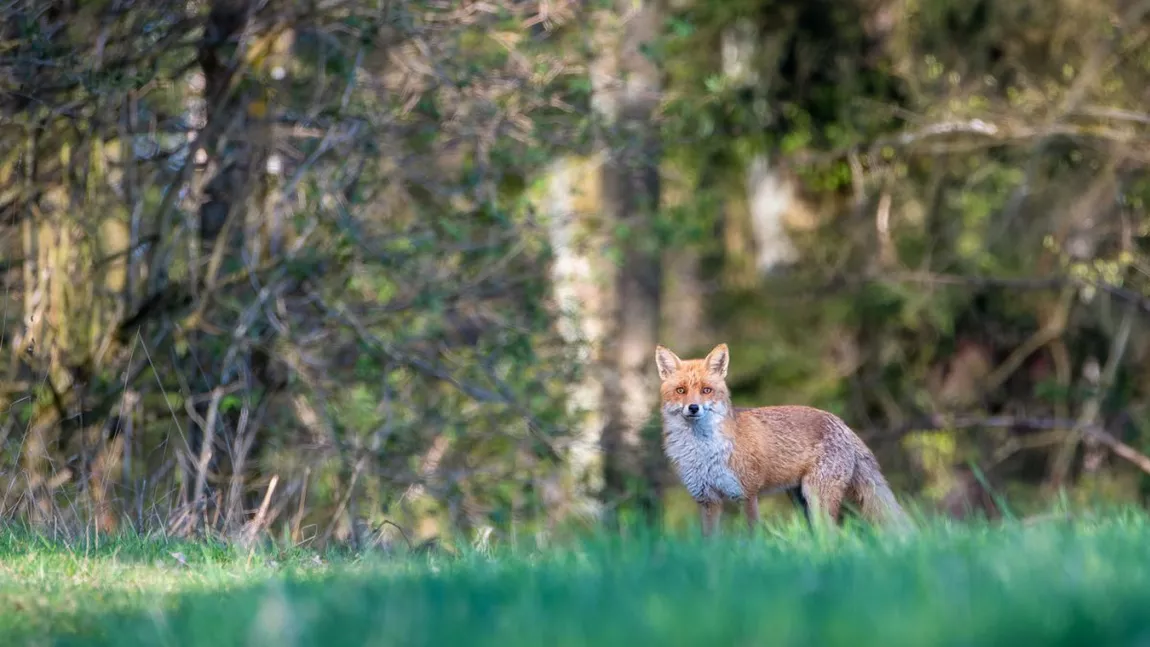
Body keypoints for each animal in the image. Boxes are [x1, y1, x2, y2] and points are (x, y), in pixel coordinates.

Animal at [657, 344, 906, 537]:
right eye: (681, 390)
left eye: (706, 390)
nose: (693, 408)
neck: (704, 451)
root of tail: (842, 423)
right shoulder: (707, 499)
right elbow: (709, 543)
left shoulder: (746, 494)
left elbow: (752, 538)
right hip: (801, 501)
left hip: (817, 499)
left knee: (835, 534)